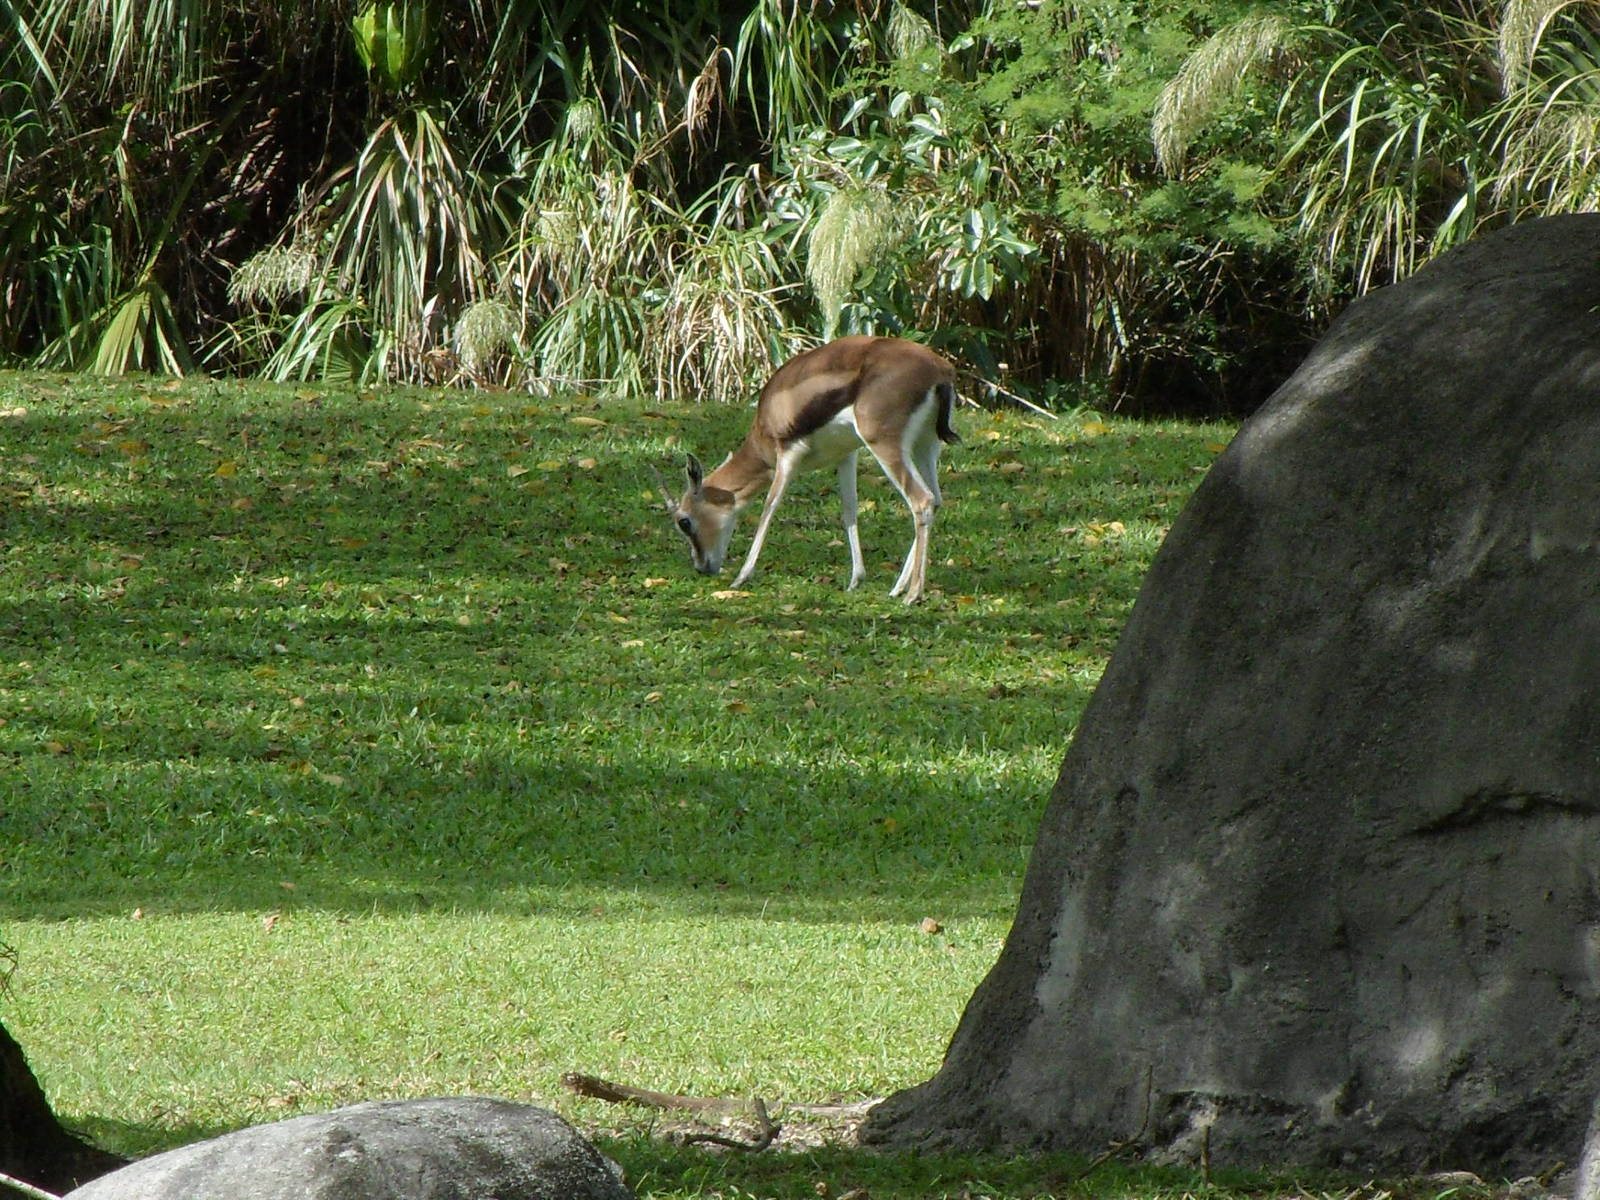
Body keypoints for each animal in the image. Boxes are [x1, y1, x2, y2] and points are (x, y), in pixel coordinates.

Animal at [663, 335, 959, 604]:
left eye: (684, 521)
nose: (702, 567)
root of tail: (938, 369)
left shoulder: (786, 456)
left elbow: (769, 509)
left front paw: (741, 577)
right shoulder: (846, 454)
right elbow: (849, 511)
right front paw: (855, 579)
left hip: (885, 444)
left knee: (921, 500)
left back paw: (912, 594)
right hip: (925, 445)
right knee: (935, 500)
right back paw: (897, 588)